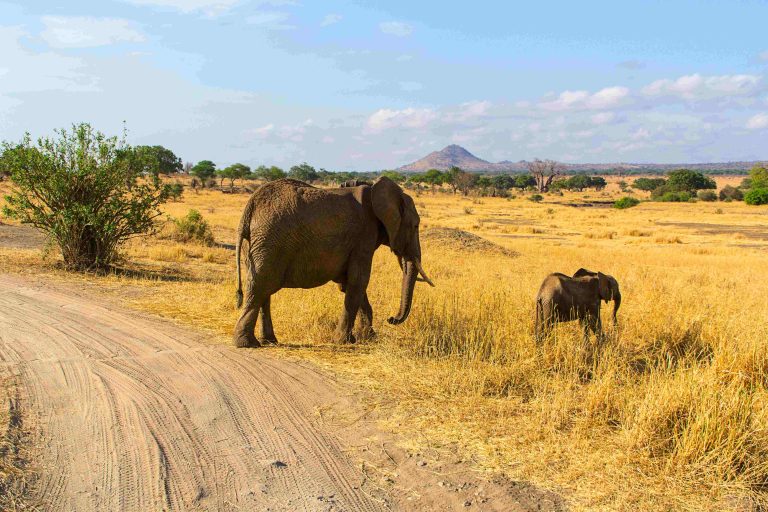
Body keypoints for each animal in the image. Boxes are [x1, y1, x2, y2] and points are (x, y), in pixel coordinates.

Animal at [233, 177, 434, 348]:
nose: (391, 319)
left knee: (263, 290)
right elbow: (358, 281)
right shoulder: (364, 235)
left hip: (258, 244)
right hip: (270, 241)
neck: (374, 189)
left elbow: (349, 284)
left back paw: (269, 341)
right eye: (415, 225)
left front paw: (367, 338)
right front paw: (344, 341)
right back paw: (247, 344)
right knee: (259, 286)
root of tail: (250, 207)